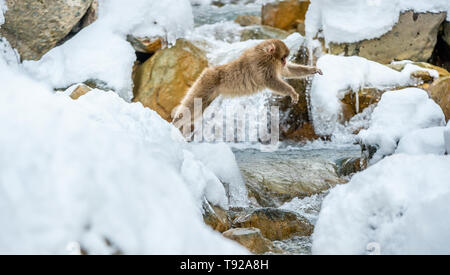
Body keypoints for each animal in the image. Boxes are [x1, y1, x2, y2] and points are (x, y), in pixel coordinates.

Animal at [172, 38, 324, 128]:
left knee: (196, 109)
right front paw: (292, 92)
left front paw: (312, 69)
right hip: (205, 84)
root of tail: (208, 71)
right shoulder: (261, 64)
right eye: (283, 57)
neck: (266, 55)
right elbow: (270, 81)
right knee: (192, 105)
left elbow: (287, 72)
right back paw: (174, 124)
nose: (285, 61)